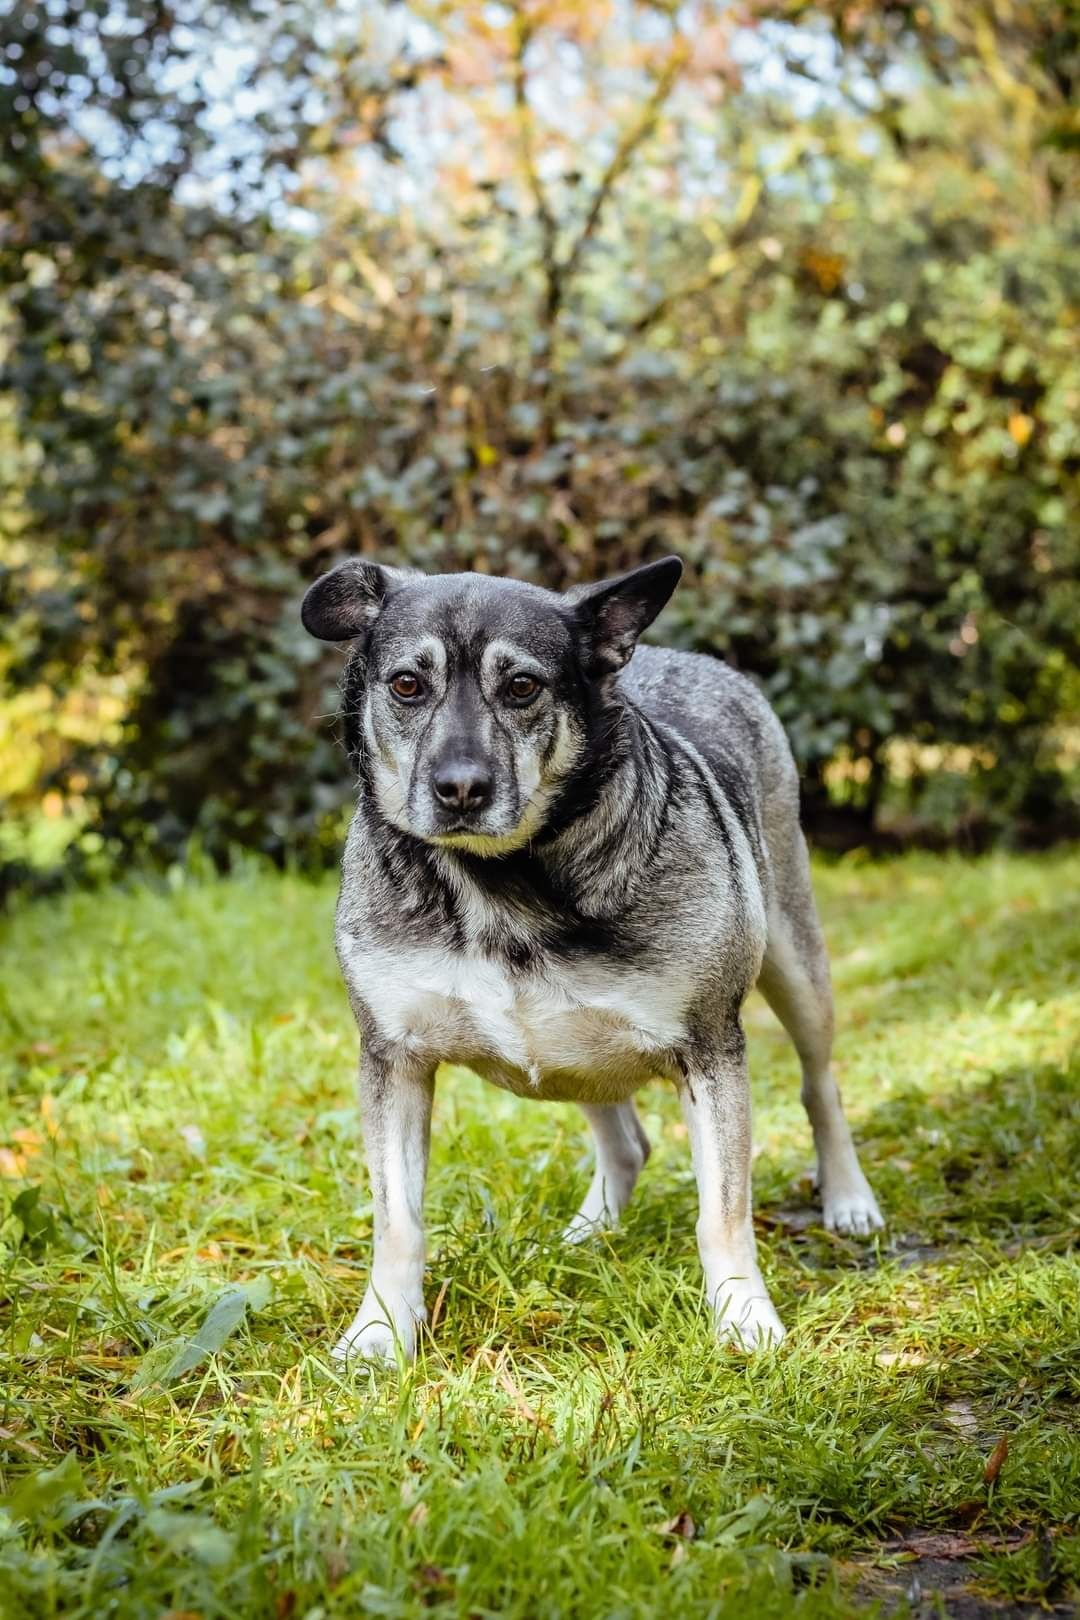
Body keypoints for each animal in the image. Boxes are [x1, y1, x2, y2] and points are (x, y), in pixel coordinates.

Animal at [299, 550, 880, 1360]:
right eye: (407, 684)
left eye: (523, 687)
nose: (460, 788)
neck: (502, 881)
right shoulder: (394, 1060)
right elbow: (399, 1222)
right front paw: (382, 1332)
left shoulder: (709, 1050)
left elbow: (722, 1212)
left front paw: (742, 1318)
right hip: (578, 1054)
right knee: (626, 1141)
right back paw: (592, 1231)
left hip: (796, 965)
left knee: (819, 1084)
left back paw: (849, 1197)